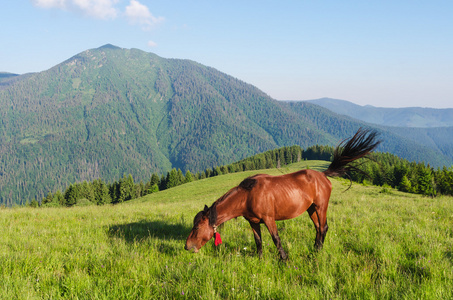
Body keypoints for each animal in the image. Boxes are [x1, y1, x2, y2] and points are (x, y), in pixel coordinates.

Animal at [184, 127, 378, 258]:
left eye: (197, 227)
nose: (187, 247)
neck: (248, 196)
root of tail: (323, 175)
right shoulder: (253, 222)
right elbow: (258, 241)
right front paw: (260, 259)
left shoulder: (269, 219)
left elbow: (276, 239)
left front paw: (284, 259)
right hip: (311, 209)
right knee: (318, 228)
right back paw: (315, 249)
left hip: (321, 207)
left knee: (323, 227)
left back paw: (318, 252)